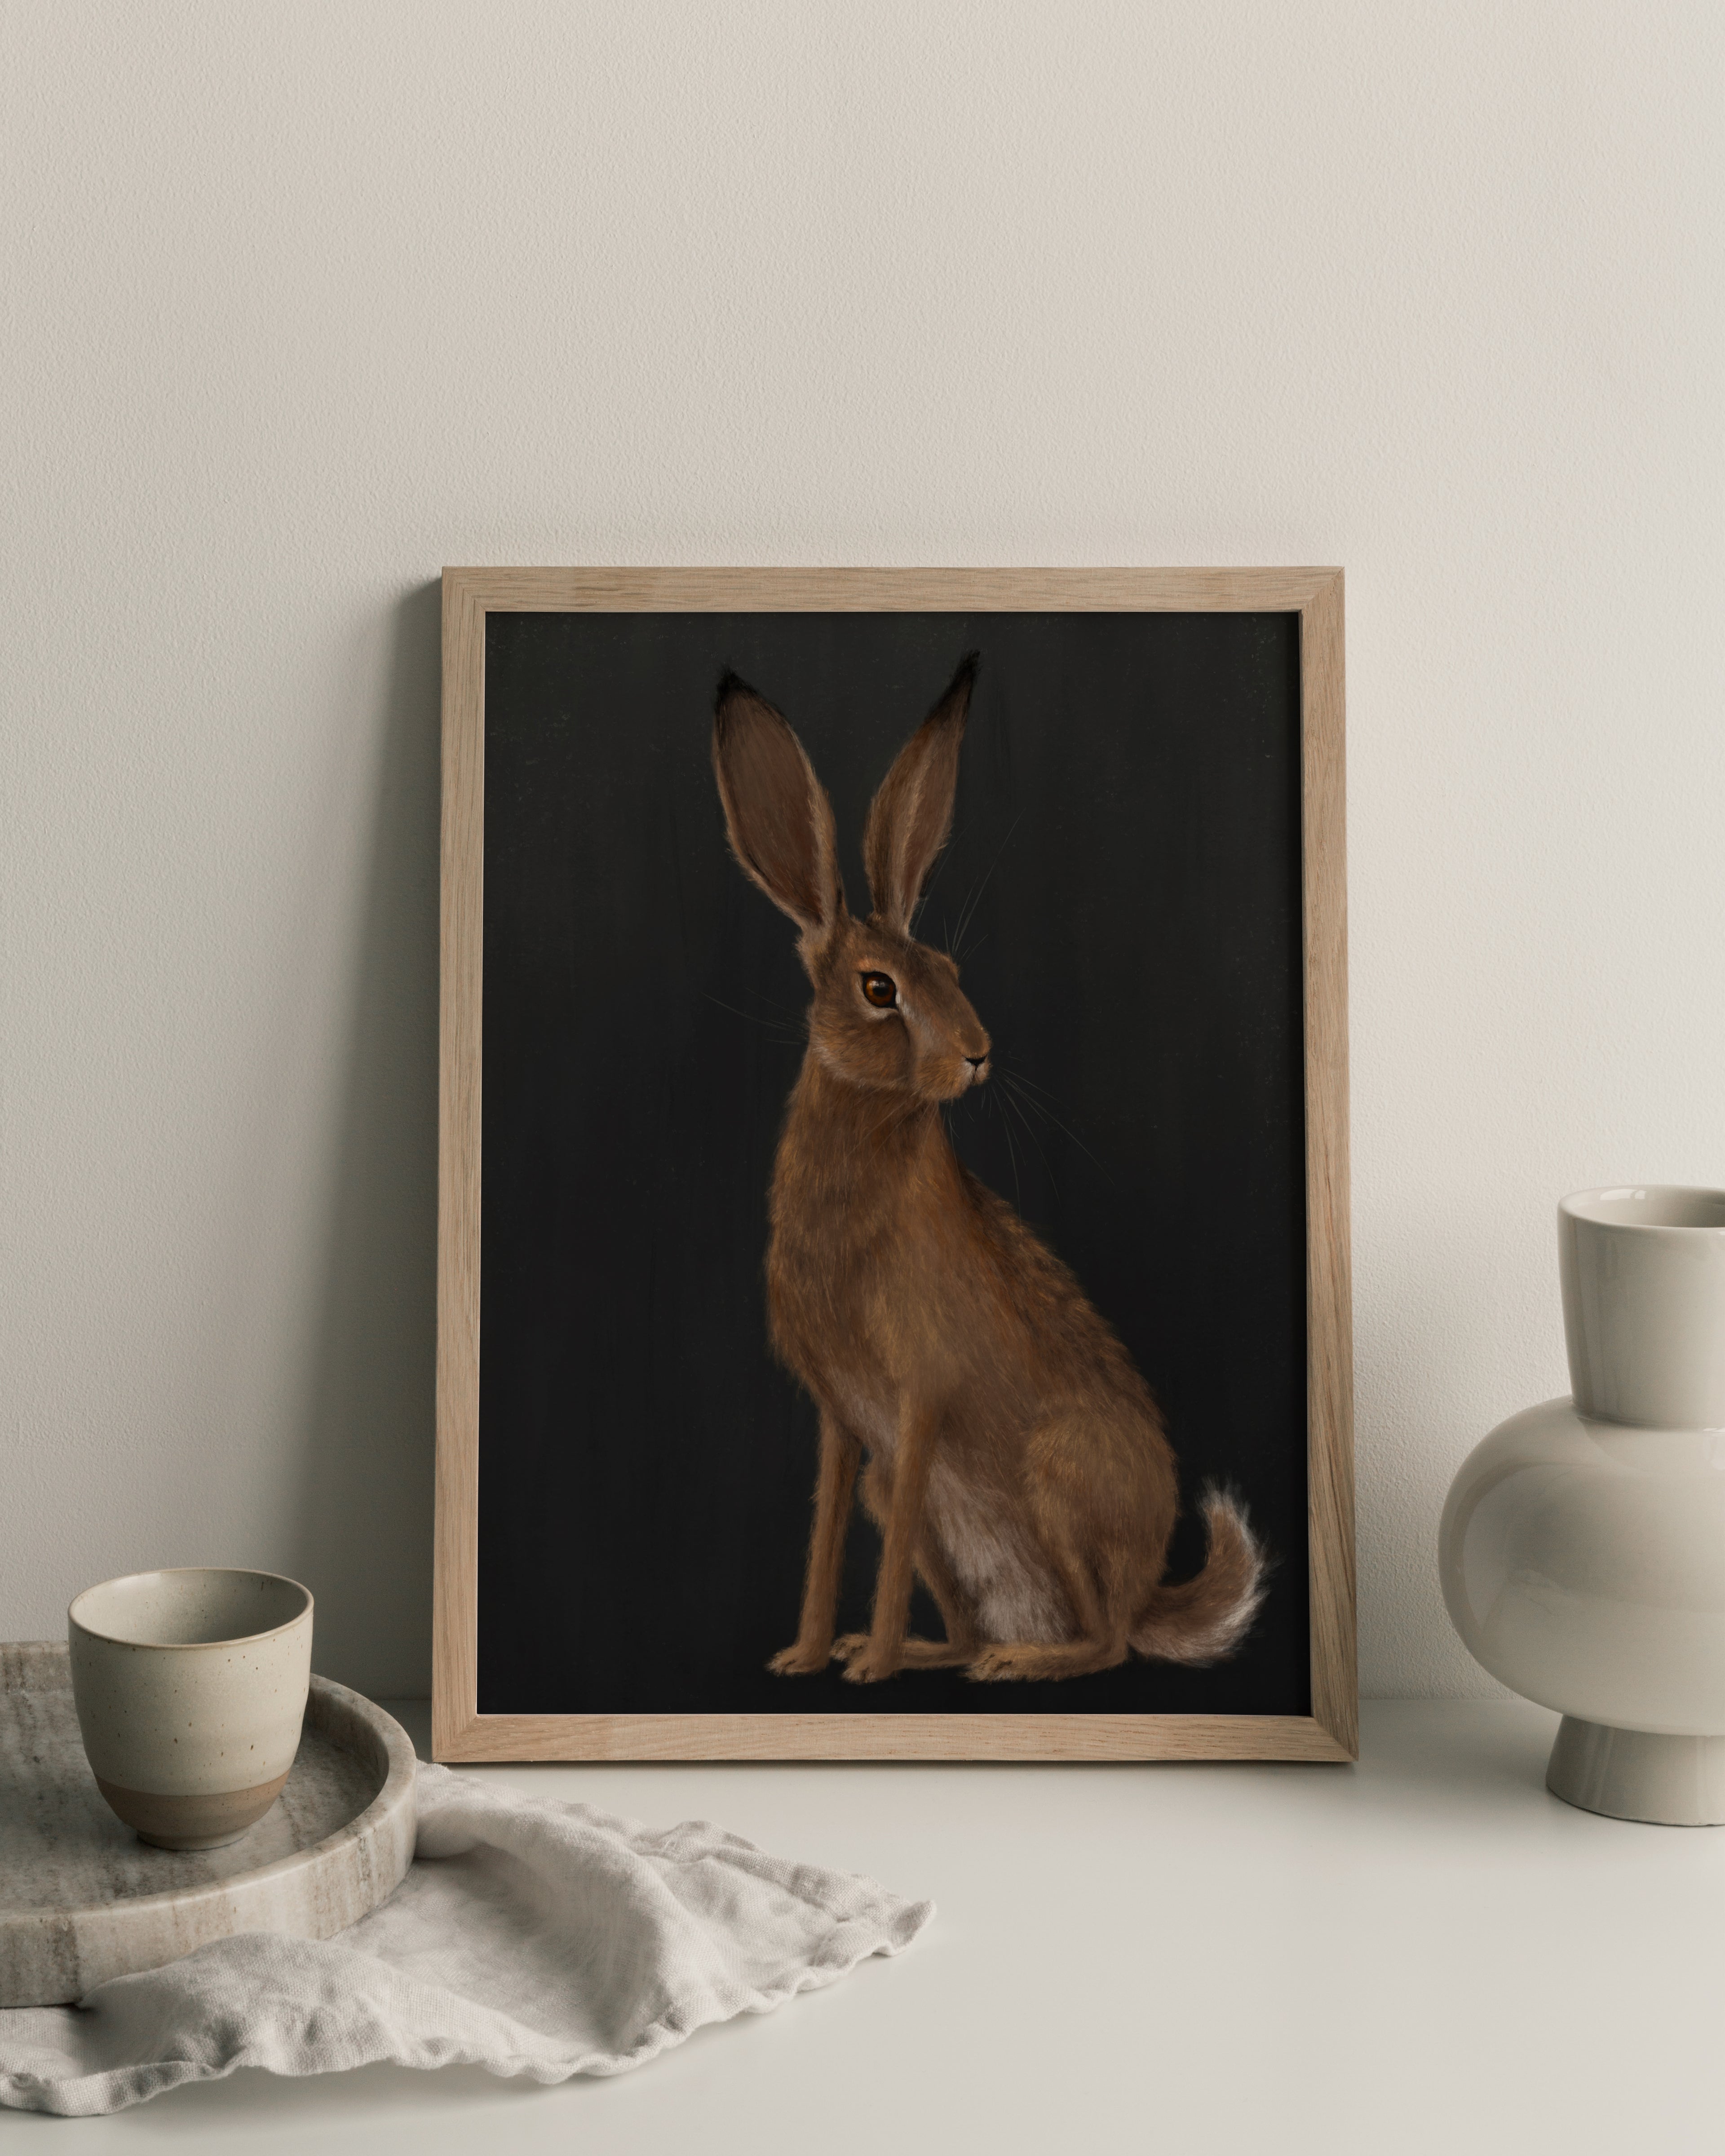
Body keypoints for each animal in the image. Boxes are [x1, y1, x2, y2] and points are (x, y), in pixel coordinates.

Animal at [711, 652, 1266, 1684]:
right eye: (879, 988)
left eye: (952, 970)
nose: (977, 1054)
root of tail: (1148, 1590)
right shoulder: (847, 1426)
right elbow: (826, 1537)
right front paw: (807, 1657)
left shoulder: (920, 1399)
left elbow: (881, 1550)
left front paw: (867, 1671)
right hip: (931, 1500)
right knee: (981, 1615)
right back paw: (933, 1651)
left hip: (1058, 1477)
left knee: (1107, 1644)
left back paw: (1017, 1663)